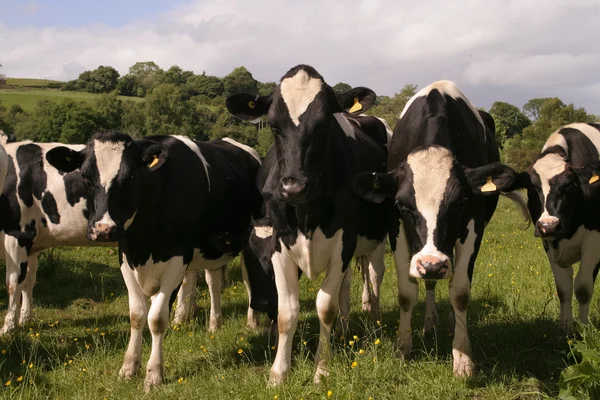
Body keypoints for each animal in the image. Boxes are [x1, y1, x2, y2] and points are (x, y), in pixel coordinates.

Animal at [45, 133, 262, 390]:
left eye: (131, 176)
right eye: (86, 177)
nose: (103, 230)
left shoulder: (177, 261)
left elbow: (157, 319)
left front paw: (153, 375)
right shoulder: (126, 259)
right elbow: (137, 315)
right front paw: (128, 368)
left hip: (250, 240)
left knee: (250, 279)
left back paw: (253, 322)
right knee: (213, 280)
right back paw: (214, 323)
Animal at [225, 64, 390, 386]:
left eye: (324, 125)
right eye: (273, 126)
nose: (293, 187)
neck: (306, 214)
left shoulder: (343, 242)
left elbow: (325, 306)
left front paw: (321, 369)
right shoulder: (280, 242)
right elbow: (287, 311)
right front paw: (278, 372)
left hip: (376, 238)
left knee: (375, 277)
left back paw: (374, 323)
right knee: (346, 287)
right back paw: (344, 330)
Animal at [352, 79, 528, 376]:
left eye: (459, 202)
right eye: (403, 205)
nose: (432, 264)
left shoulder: (473, 225)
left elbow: (460, 293)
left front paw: (463, 358)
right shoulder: (396, 228)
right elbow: (407, 292)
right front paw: (402, 348)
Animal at [508, 122, 600, 334]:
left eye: (571, 185)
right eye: (531, 188)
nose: (549, 225)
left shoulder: (594, 239)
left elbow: (583, 287)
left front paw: (584, 328)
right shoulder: (549, 242)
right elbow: (563, 288)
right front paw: (565, 329)